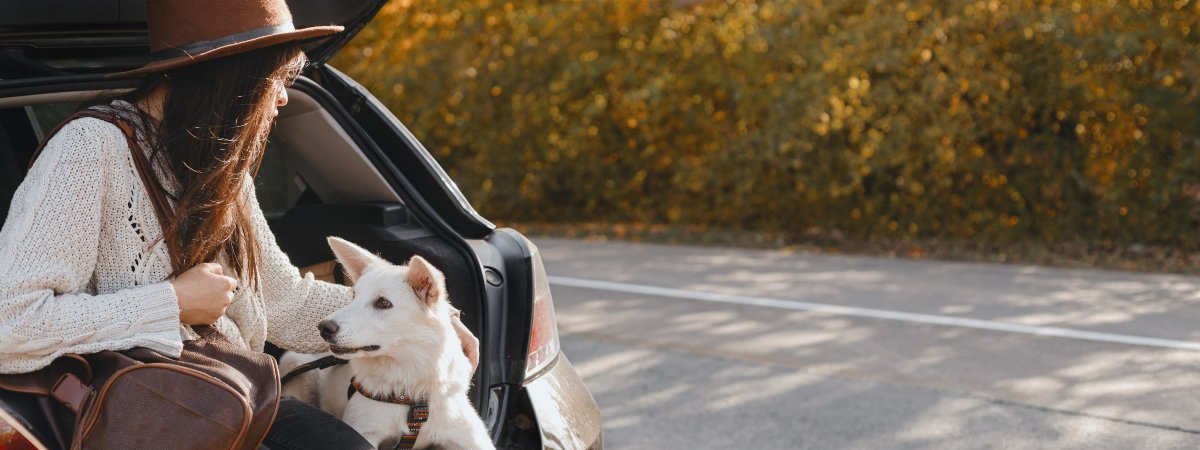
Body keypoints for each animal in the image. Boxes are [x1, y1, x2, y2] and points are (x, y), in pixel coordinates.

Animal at [279, 237, 492, 448]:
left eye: (383, 303)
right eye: (354, 296)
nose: (323, 328)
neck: (409, 390)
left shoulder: (472, 438)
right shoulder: (365, 432)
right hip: (295, 365)